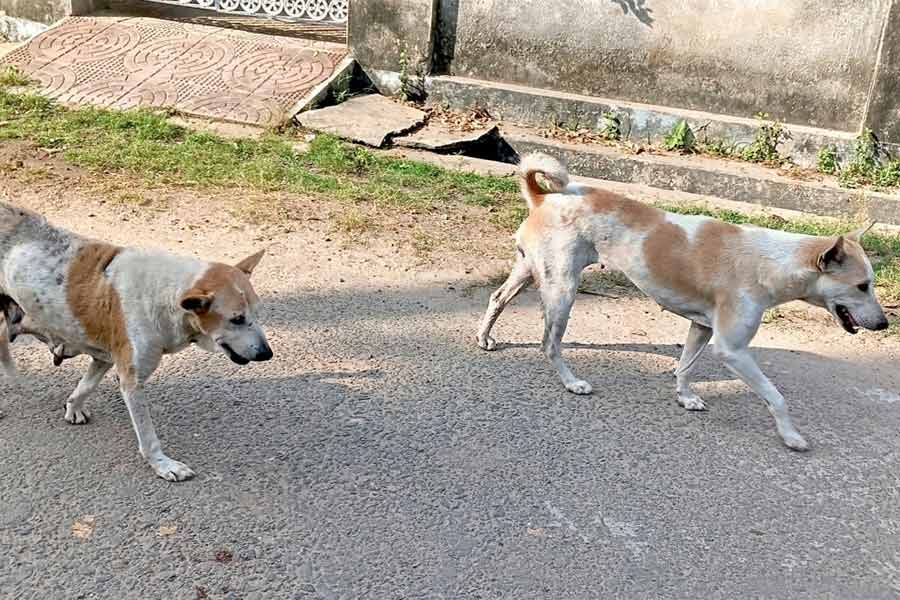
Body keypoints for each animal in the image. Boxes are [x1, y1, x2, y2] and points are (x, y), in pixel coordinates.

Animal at [0, 204, 274, 480]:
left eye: (257, 313)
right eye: (237, 319)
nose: (267, 354)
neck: (165, 295)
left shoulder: (105, 357)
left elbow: (86, 385)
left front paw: (73, 406)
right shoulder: (132, 380)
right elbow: (148, 435)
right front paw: (163, 464)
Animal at [474, 152, 888, 448]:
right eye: (862, 285)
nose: (885, 323)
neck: (772, 262)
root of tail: (545, 197)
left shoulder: (702, 328)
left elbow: (685, 368)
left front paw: (685, 397)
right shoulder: (732, 350)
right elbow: (776, 396)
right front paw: (791, 436)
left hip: (530, 271)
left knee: (497, 297)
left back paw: (484, 337)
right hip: (562, 288)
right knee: (549, 342)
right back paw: (572, 382)